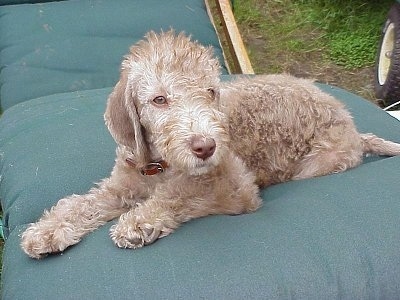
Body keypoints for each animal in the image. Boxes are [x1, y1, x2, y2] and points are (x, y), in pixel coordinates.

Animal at [21, 31, 400, 260]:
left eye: (211, 92)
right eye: (159, 100)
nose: (205, 147)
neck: (160, 165)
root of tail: (355, 127)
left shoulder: (236, 189)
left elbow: (182, 193)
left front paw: (140, 222)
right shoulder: (122, 184)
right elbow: (82, 203)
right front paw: (47, 230)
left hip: (318, 163)